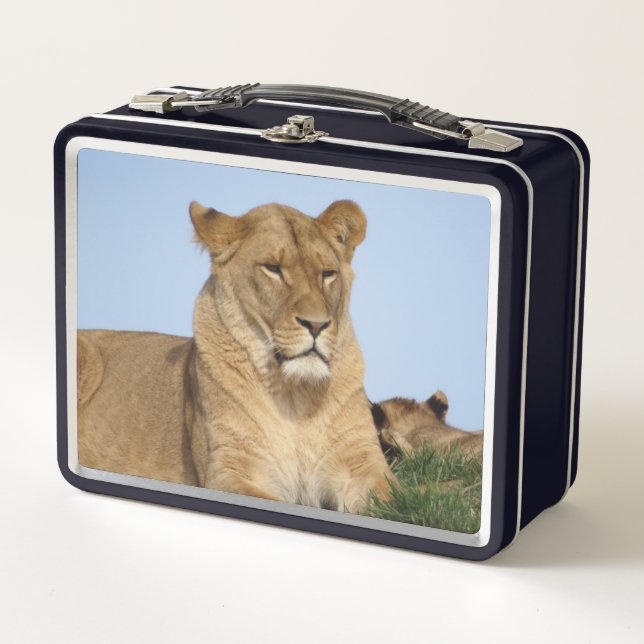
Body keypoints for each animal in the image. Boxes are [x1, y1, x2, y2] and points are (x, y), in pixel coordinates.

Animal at [77, 200, 395, 513]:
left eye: (327, 274)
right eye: (273, 268)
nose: (316, 325)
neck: (295, 397)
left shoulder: (362, 460)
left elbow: (397, 500)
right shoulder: (228, 471)